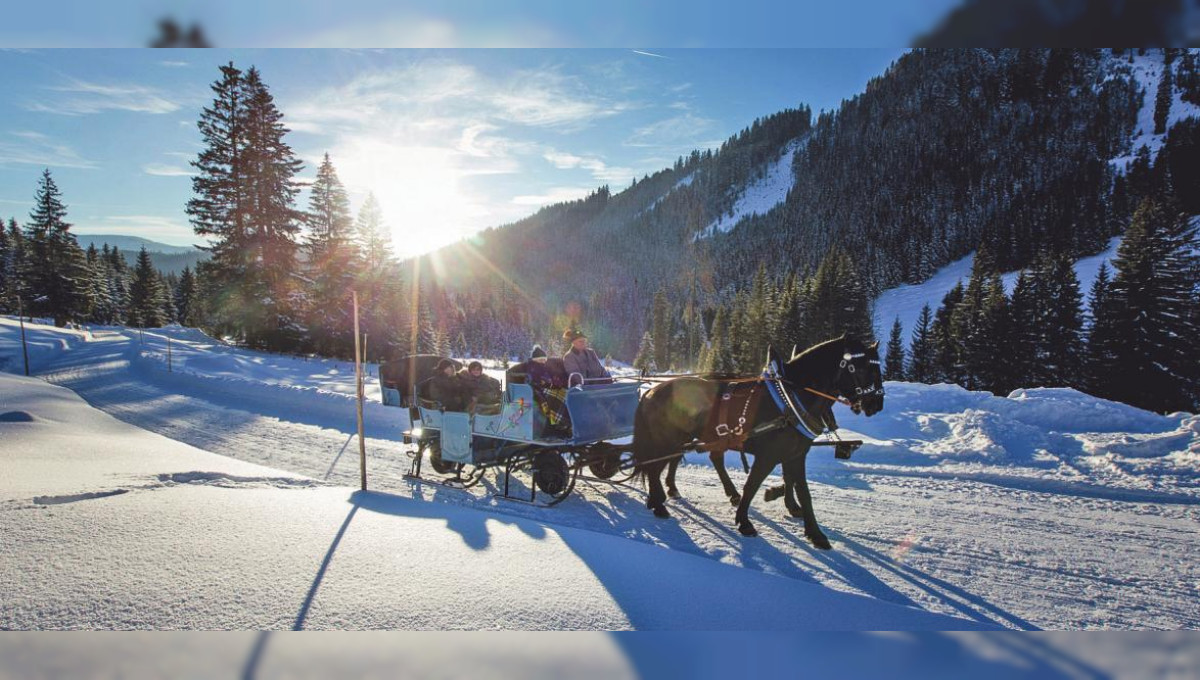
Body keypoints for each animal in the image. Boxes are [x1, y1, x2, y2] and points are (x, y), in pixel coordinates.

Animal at [633, 338, 888, 551]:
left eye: (878, 368)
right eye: (862, 368)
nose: (876, 404)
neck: (789, 399)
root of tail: (651, 392)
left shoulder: (796, 454)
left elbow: (802, 490)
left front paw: (815, 533)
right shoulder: (768, 456)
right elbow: (752, 486)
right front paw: (744, 522)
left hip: (683, 439)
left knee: (677, 463)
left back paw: (666, 495)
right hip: (666, 440)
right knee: (654, 468)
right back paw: (658, 503)